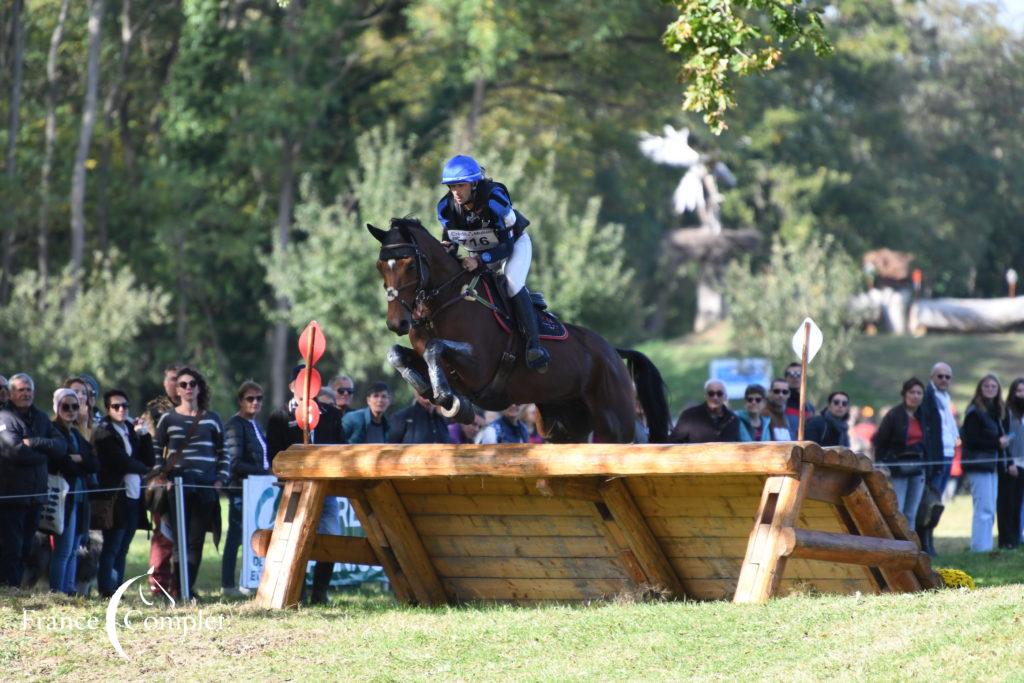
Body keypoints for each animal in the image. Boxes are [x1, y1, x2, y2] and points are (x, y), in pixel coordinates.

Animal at [368, 216, 671, 446]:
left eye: (410, 264)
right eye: (380, 266)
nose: (397, 323)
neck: (444, 303)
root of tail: (612, 352)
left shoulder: (479, 368)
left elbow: (435, 348)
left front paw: (445, 397)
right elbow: (398, 353)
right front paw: (424, 386)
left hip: (614, 422)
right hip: (562, 424)